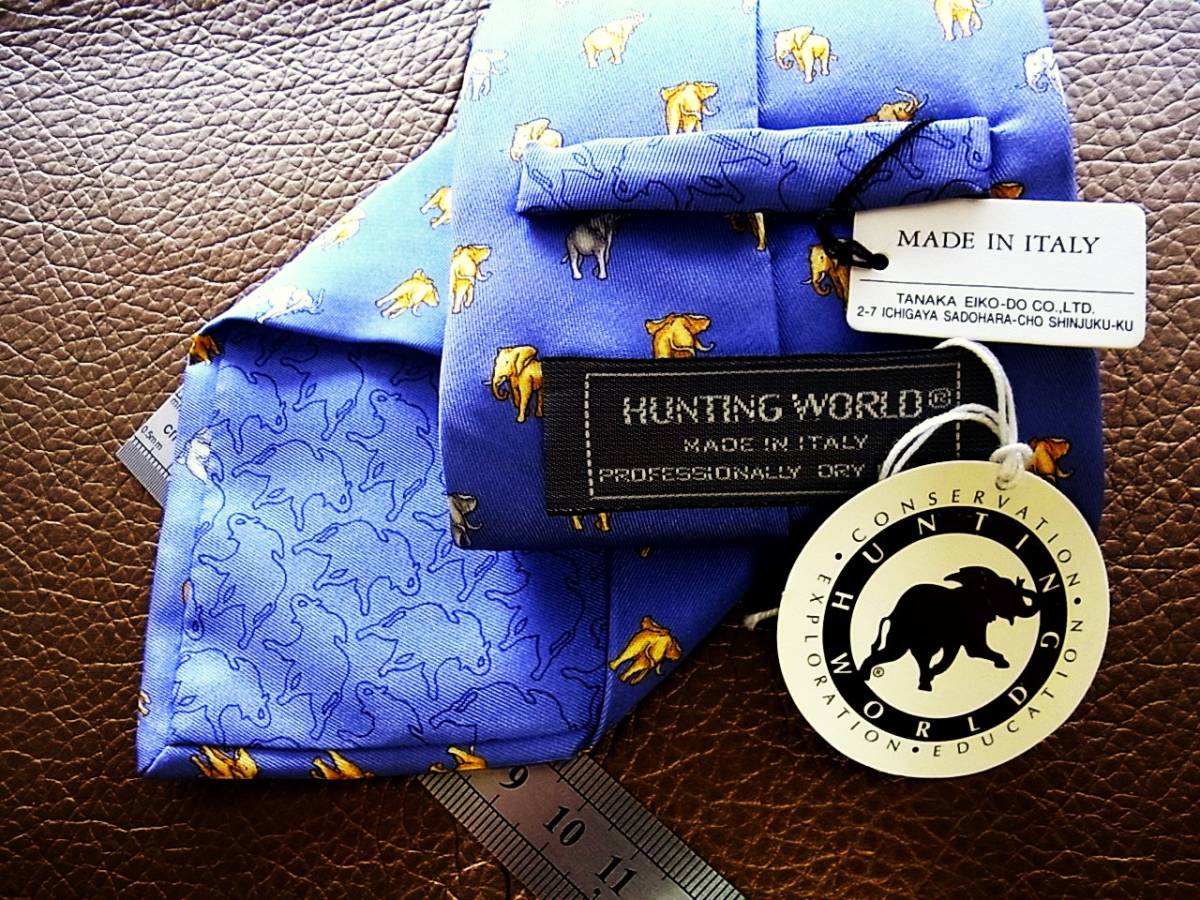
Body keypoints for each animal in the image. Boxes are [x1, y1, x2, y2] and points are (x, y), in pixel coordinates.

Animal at [860, 566, 1041, 692]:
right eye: (1005, 595)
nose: (1021, 581)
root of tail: (891, 613)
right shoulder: (970, 621)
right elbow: (975, 649)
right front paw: (1003, 663)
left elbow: (956, 653)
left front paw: (932, 673)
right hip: (903, 630)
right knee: (903, 653)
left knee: (919, 656)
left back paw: (924, 684)